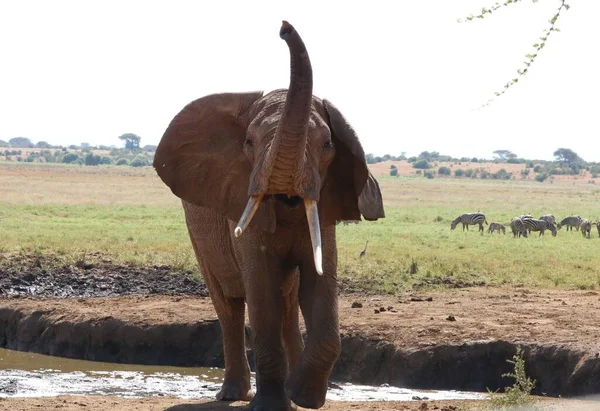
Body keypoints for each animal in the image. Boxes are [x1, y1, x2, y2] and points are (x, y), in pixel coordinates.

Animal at [152, 21, 382, 411]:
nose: (284, 27)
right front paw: (272, 404)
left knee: (288, 304)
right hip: (198, 232)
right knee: (229, 304)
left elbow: (319, 283)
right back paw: (233, 394)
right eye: (249, 143)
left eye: (327, 145)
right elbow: (260, 287)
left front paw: (303, 397)